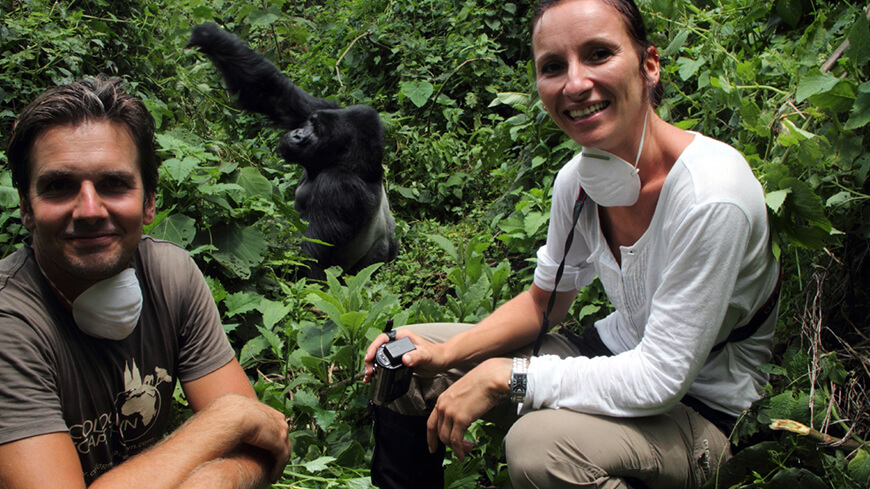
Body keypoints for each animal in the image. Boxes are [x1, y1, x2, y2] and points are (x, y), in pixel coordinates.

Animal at [189, 23, 400, 278]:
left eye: (317, 133)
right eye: (311, 123)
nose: (298, 134)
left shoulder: (339, 188)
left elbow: (307, 255)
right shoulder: (333, 108)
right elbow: (276, 95)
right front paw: (208, 36)